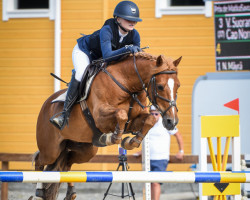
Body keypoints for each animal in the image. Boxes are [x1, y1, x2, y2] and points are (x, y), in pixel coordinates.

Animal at [32, 52, 181, 200]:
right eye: (160, 86)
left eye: (178, 86)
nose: (171, 122)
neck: (128, 85)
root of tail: (46, 104)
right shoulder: (100, 117)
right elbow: (121, 114)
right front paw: (113, 137)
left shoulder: (133, 121)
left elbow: (150, 119)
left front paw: (131, 142)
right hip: (51, 150)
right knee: (39, 160)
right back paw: (39, 191)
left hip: (85, 149)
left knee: (66, 163)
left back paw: (70, 193)